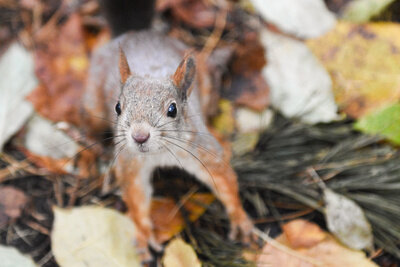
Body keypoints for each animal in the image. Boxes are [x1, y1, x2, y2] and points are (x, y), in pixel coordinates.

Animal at [83, 0, 253, 262]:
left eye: (172, 109)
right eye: (118, 107)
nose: (139, 137)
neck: (160, 153)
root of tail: (137, 32)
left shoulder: (202, 150)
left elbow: (224, 180)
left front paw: (239, 218)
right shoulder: (131, 161)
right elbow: (136, 195)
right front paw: (143, 234)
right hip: (92, 102)